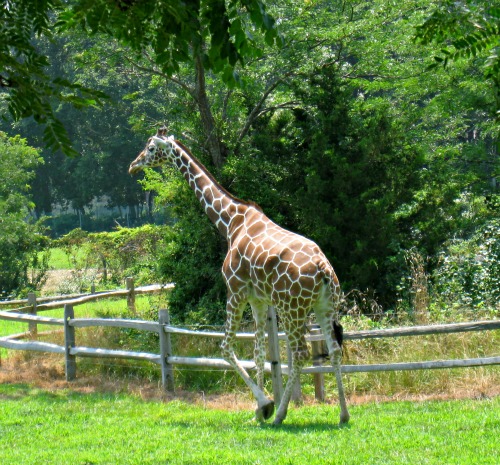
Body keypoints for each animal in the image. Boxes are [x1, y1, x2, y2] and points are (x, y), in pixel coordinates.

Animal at [128, 127, 348, 424]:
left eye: (151, 148)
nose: (133, 165)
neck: (230, 222)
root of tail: (324, 269)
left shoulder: (235, 290)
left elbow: (226, 347)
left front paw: (265, 405)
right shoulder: (258, 300)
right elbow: (258, 353)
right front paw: (259, 411)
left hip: (292, 308)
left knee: (300, 353)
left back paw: (281, 414)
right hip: (324, 306)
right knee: (334, 350)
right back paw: (343, 415)